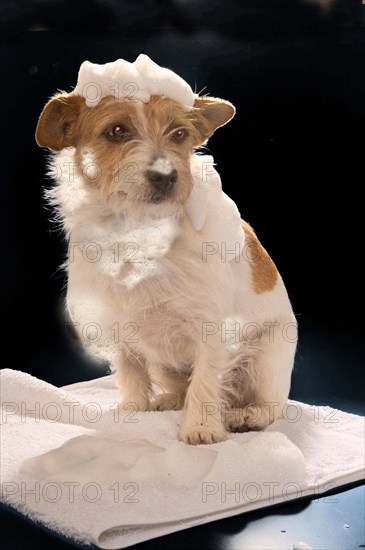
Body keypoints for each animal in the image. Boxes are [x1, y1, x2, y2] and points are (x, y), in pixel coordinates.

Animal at [34, 61, 296, 448]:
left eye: (179, 134)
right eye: (117, 131)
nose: (166, 176)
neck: (139, 230)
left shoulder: (212, 328)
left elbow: (206, 378)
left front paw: (201, 428)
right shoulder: (118, 324)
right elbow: (131, 370)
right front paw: (134, 410)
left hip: (266, 361)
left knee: (270, 406)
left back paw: (248, 414)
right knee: (179, 383)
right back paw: (170, 399)